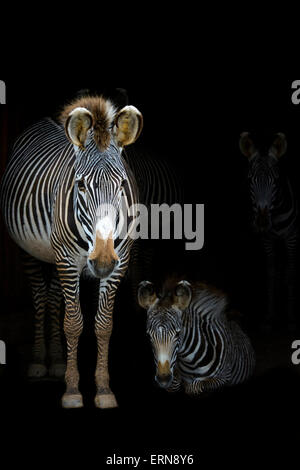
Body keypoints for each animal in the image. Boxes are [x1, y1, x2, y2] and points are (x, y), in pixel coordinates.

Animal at [0, 94, 143, 408]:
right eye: (80, 185)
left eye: (122, 184)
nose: (102, 262)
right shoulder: (67, 259)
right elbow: (74, 323)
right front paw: (73, 390)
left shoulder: (120, 262)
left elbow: (103, 325)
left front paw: (104, 389)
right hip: (33, 251)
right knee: (41, 297)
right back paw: (40, 361)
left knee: (54, 297)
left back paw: (55, 361)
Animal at [239, 130, 298, 332]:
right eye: (250, 180)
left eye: (275, 181)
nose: (262, 221)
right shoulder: (268, 240)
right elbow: (271, 273)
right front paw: (270, 317)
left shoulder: (291, 239)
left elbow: (290, 272)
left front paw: (290, 318)